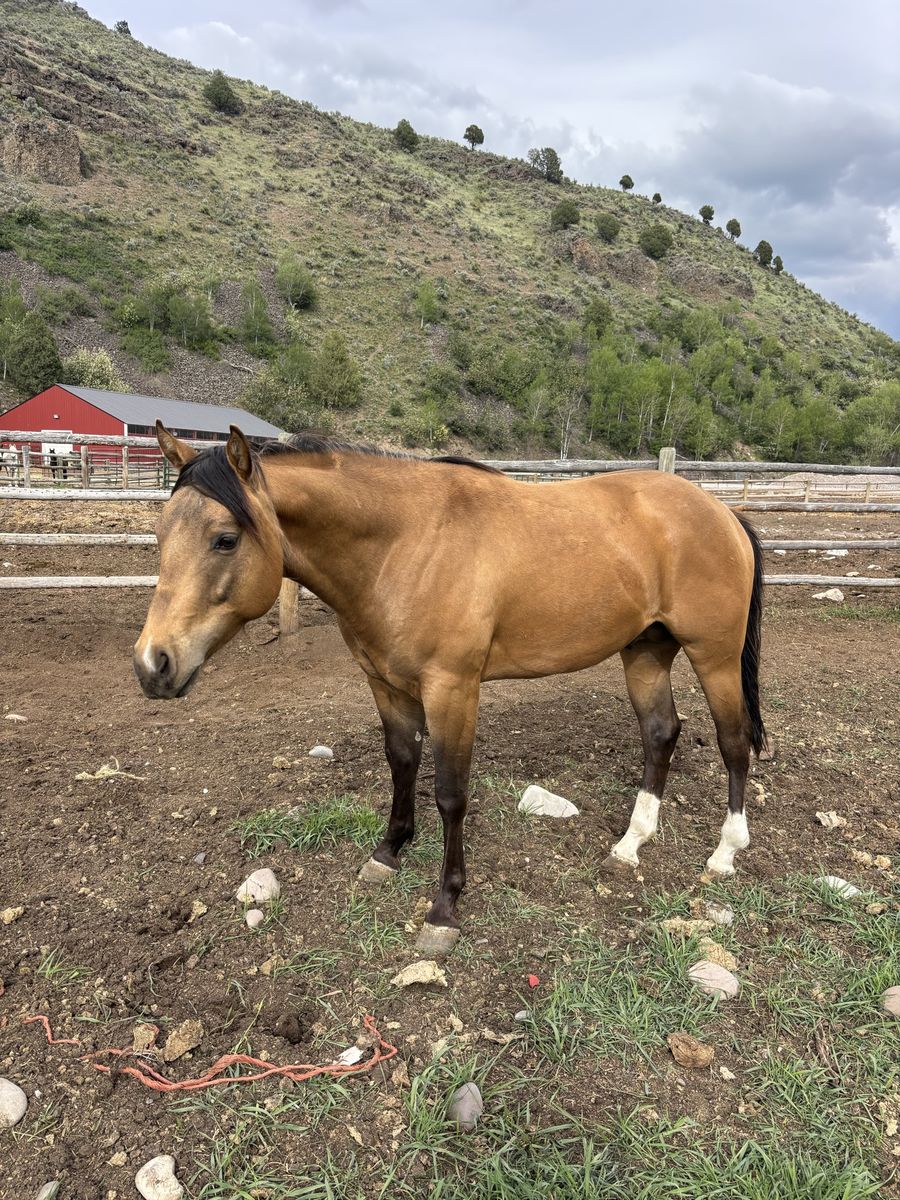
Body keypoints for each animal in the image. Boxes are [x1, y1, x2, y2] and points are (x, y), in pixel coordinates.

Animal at [134, 423, 765, 955]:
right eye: (160, 534)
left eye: (224, 539)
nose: (152, 664)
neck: (405, 544)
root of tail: (722, 511)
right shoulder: (385, 683)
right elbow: (401, 763)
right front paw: (388, 852)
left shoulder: (453, 689)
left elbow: (451, 793)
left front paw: (445, 906)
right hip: (646, 651)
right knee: (661, 734)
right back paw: (631, 844)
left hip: (713, 656)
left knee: (734, 743)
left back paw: (725, 853)